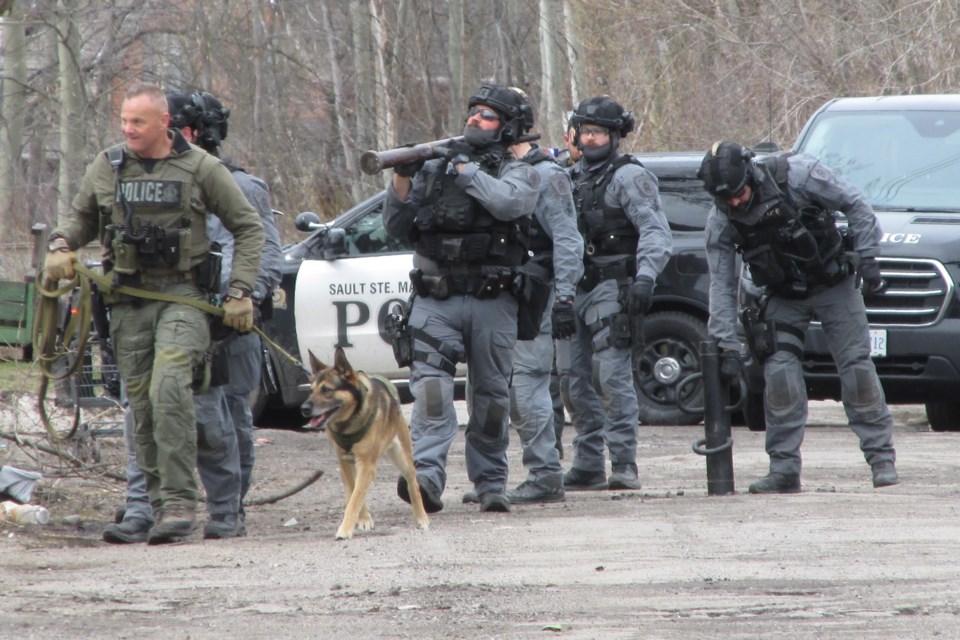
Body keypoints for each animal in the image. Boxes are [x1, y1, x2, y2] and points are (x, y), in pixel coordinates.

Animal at [298, 348, 430, 536]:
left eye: (326, 390)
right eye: (311, 390)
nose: (304, 409)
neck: (348, 422)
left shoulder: (366, 464)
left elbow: (355, 498)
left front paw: (345, 529)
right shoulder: (346, 462)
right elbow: (355, 494)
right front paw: (363, 520)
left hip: (403, 459)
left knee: (412, 484)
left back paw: (421, 517)